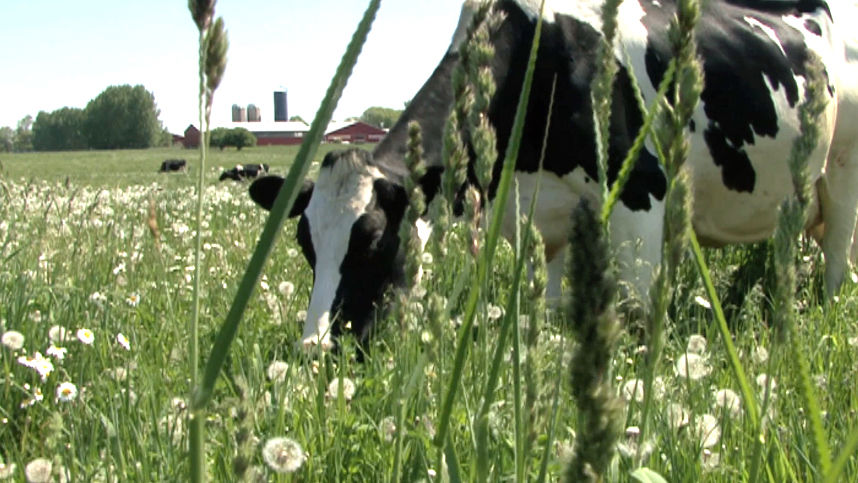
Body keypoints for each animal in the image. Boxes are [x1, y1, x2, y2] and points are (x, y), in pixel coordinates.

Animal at [246, 0, 856, 352]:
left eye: (373, 240)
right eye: (305, 243)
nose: (313, 347)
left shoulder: (641, 195)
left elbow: (637, 313)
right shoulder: (539, 220)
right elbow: (552, 307)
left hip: (846, 169)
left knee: (837, 261)